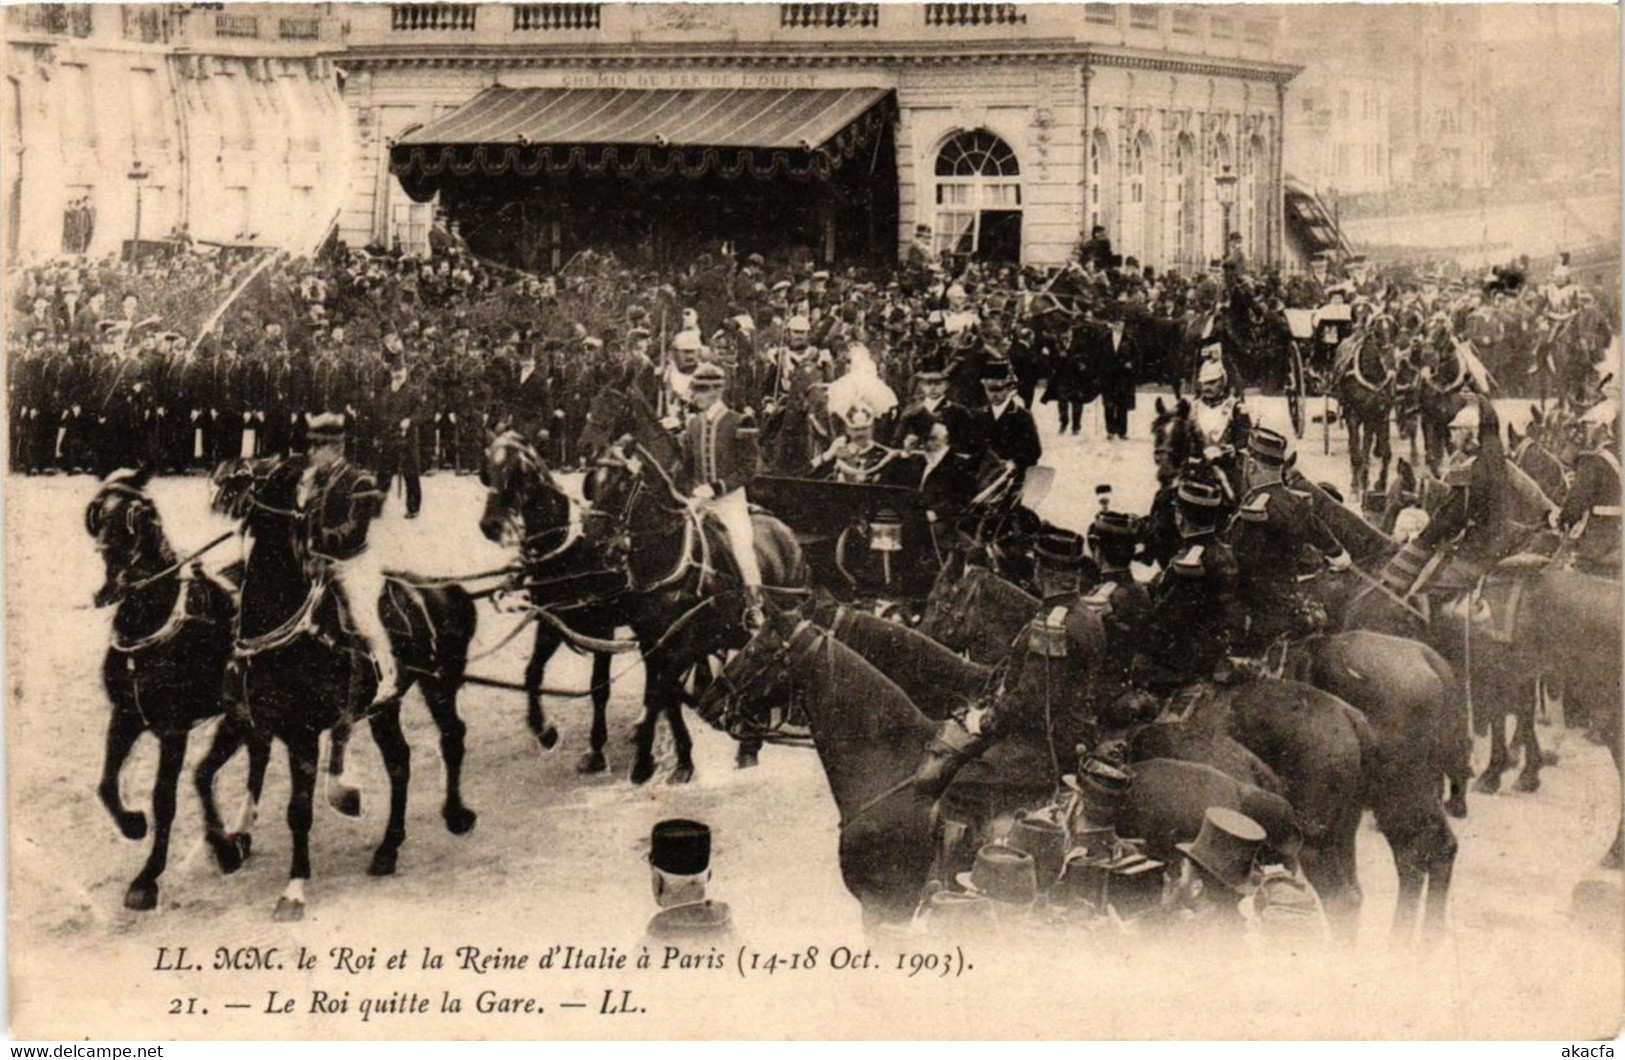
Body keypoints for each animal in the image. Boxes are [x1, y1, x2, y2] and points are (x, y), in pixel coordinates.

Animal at [85, 471, 271, 910]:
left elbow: (163, 800)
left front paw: (146, 879)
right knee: (255, 755)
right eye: (98, 513)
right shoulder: (126, 715)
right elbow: (106, 783)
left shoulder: (173, 730)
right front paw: (133, 824)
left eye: (142, 515)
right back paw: (238, 835)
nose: (118, 583)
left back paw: (231, 839)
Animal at [191, 455, 474, 916]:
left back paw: (455, 814)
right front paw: (228, 850)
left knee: (452, 736)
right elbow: (204, 775)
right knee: (400, 760)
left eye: (262, 470)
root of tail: (442, 587)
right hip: (385, 706)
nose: (220, 477)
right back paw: (387, 849)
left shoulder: (302, 735)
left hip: (439, 684)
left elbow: (298, 810)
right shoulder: (247, 719)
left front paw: (293, 889)